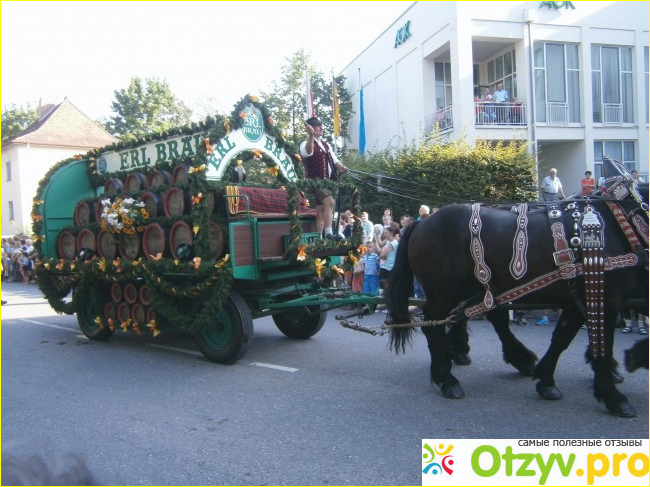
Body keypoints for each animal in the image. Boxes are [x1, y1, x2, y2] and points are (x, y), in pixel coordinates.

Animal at [388, 166, 644, 418]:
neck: (622, 221)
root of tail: (422, 223)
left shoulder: (580, 297)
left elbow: (563, 336)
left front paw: (547, 379)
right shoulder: (605, 299)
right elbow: (601, 344)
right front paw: (613, 394)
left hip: (479, 286)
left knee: (481, 317)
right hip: (443, 290)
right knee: (435, 324)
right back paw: (447, 378)